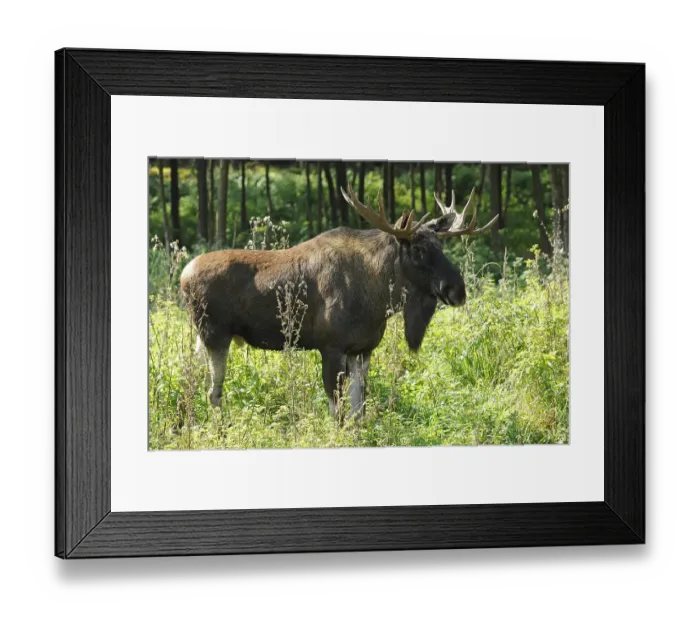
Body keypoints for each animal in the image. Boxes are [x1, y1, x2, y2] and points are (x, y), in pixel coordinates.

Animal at [180, 184, 498, 420]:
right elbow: (338, 413)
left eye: (440, 245)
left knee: (194, 382)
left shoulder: (363, 349)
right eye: (418, 249)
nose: (458, 289)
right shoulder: (330, 346)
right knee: (213, 392)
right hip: (215, 335)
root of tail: (183, 277)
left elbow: (359, 410)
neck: (380, 298)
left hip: (204, 339)